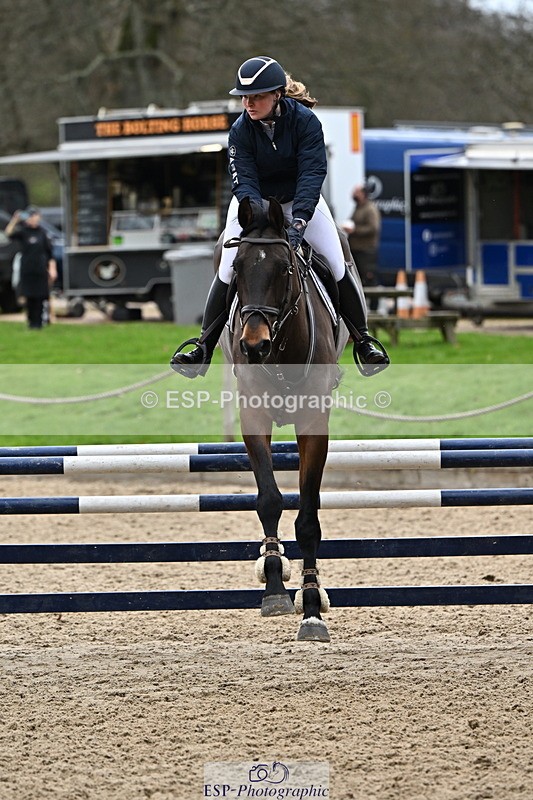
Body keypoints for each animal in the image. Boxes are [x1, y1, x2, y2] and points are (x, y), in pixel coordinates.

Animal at [220, 197, 348, 642]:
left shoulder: (313, 425)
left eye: (284, 269)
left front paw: (311, 609)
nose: (253, 346)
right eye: (237, 268)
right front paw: (275, 587)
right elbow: (269, 500)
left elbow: (308, 518)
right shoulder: (253, 418)